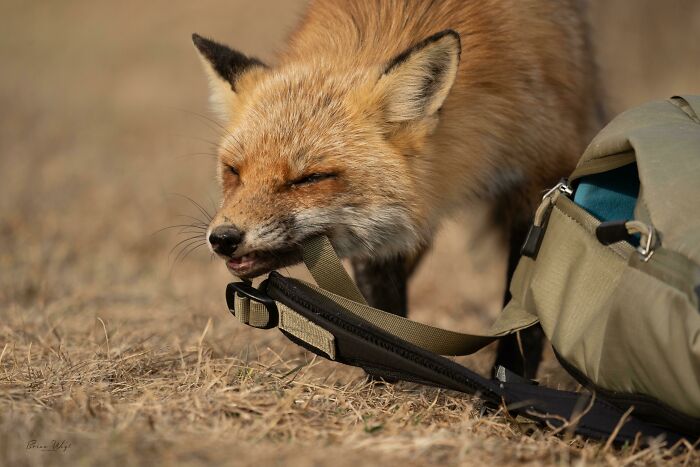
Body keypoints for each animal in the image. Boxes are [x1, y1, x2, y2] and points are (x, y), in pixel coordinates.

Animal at [192, 0, 602, 378]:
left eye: (309, 179)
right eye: (233, 171)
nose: (223, 238)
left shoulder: (542, 180)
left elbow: (524, 319)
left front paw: (509, 386)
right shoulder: (381, 230)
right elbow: (380, 313)